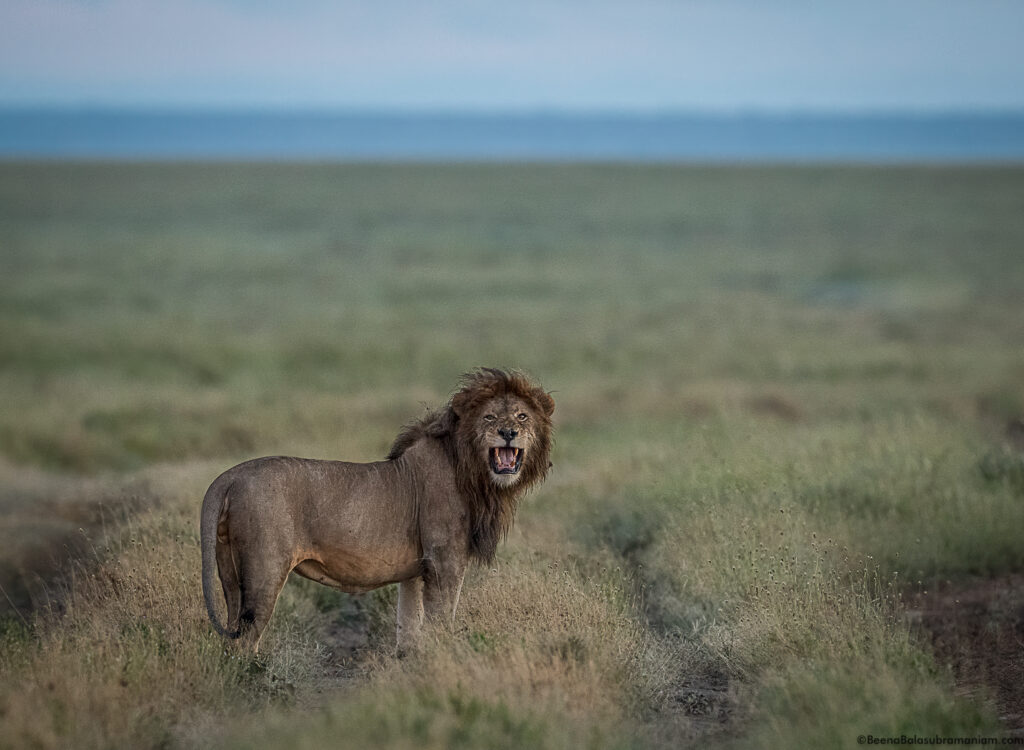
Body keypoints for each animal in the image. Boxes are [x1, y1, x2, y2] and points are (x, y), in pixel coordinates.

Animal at [198, 368, 552, 651]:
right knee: (245, 639)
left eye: (522, 416)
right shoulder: (444, 561)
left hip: (228, 569)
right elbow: (441, 620)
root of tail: (229, 476)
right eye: (489, 417)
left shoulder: (416, 571)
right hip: (265, 570)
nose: (509, 433)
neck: (476, 475)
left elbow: (409, 626)